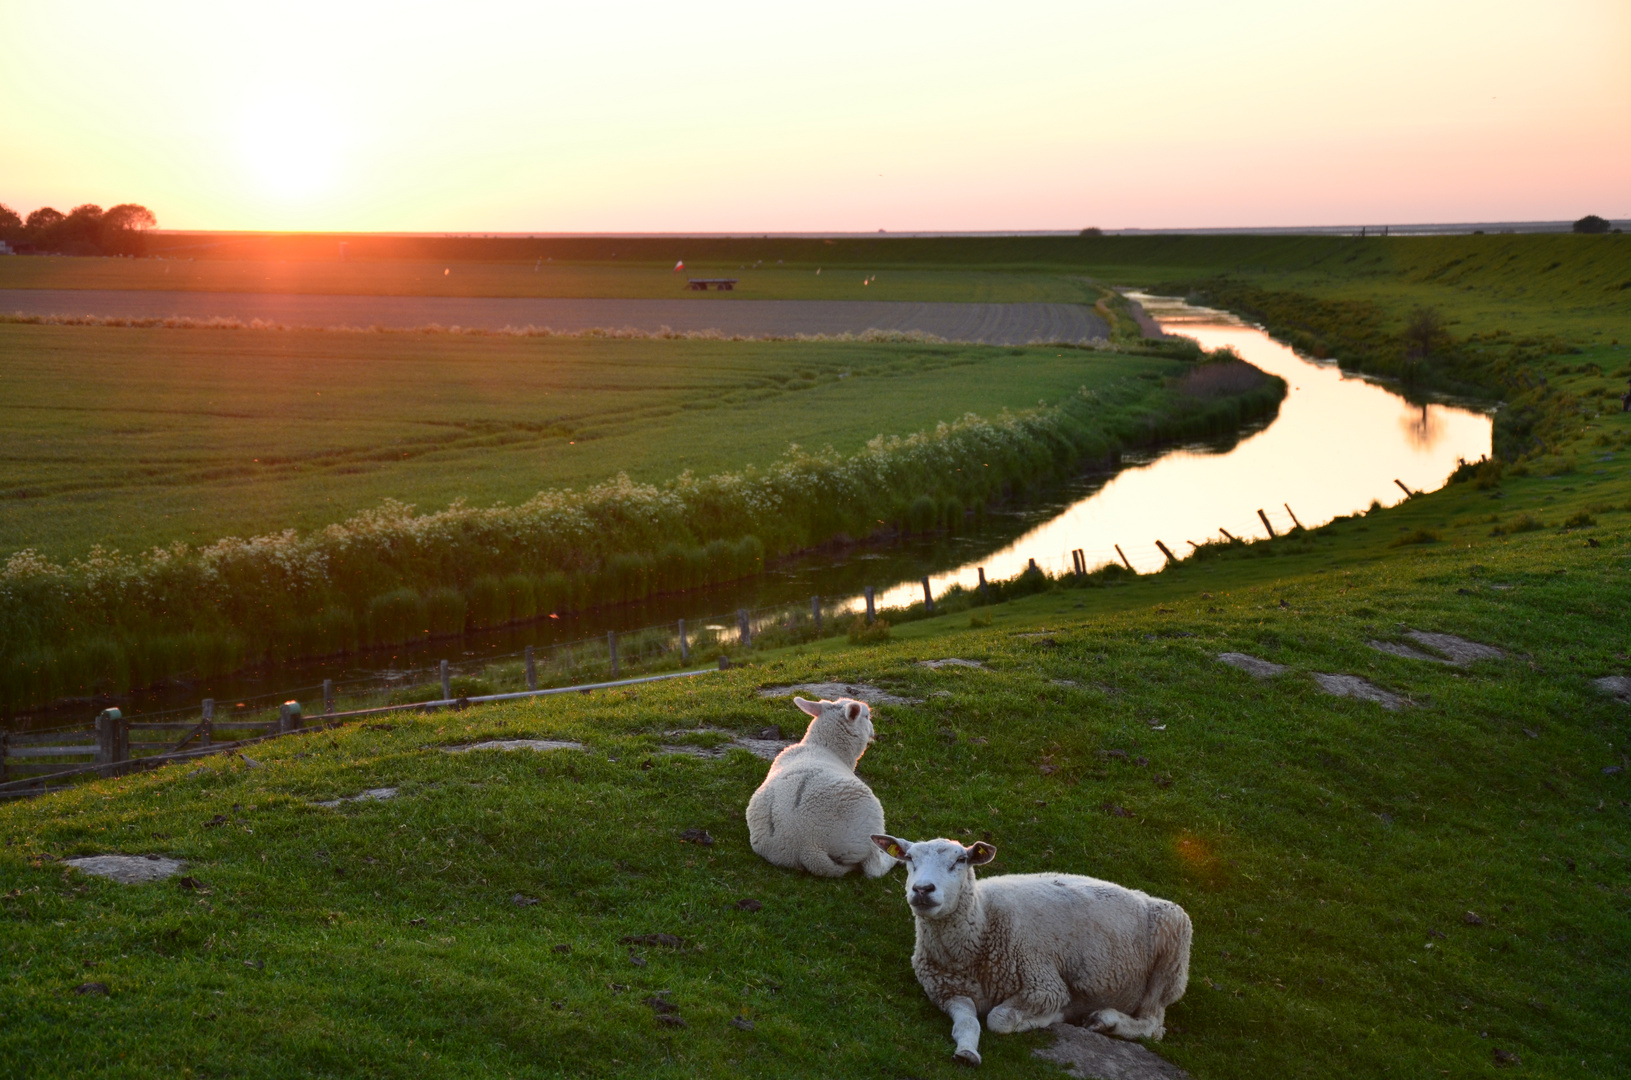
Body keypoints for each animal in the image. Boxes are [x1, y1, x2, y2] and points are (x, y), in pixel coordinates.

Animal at [746, 701, 900, 880]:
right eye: (867, 716)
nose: (873, 732)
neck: (825, 747)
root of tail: (808, 847)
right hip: (868, 827)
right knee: (873, 869)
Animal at [874, 835, 1193, 1063]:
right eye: (909, 859)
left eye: (961, 859)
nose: (922, 889)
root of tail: (1146, 897)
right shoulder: (948, 991)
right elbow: (967, 1023)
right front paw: (967, 1052)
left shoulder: (1044, 985)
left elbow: (998, 1019)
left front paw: (1055, 1017)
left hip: (1171, 959)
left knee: (1152, 1025)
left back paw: (1106, 1020)